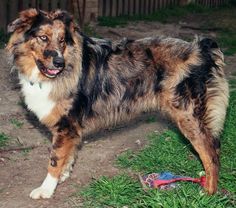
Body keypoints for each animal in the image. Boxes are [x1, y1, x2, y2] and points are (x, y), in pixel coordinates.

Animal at [6, 8, 229, 199]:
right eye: (43, 37)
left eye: (62, 40)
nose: (59, 63)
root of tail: (201, 49)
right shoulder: (70, 131)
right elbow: (66, 157)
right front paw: (62, 176)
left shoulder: (66, 125)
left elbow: (54, 160)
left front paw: (46, 189)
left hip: (187, 115)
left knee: (210, 152)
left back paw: (208, 192)